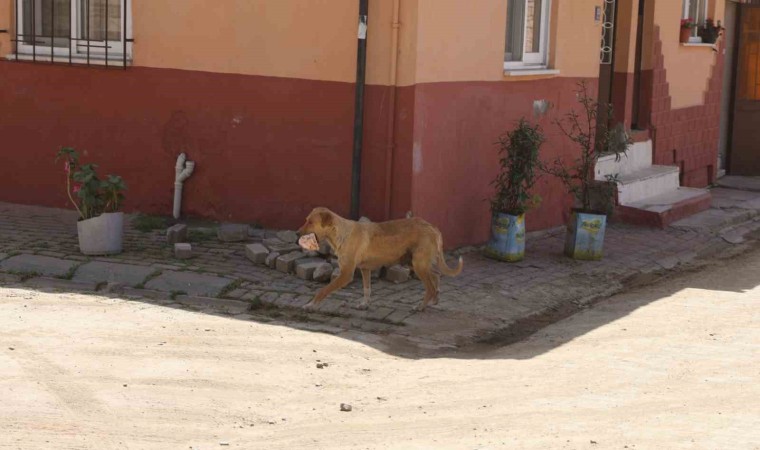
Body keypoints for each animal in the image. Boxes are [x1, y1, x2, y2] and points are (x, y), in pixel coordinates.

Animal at [296, 207, 464, 310]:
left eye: (310, 222)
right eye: (305, 219)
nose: (297, 233)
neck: (341, 233)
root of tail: (432, 227)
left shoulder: (346, 274)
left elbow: (323, 290)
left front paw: (311, 305)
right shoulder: (365, 269)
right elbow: (367, 289)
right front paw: (365, 304)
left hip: (418, 264)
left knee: (430, 286)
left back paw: (421, 306)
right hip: (414, 262)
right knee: (436, 275)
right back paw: (434, 299)